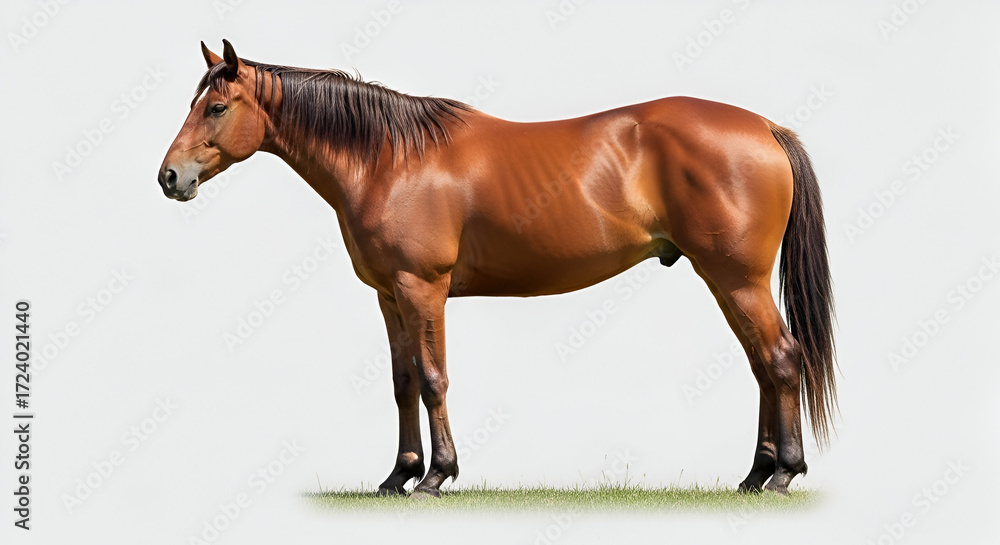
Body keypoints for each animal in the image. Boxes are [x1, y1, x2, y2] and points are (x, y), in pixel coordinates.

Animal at [159, 40, 836, 497]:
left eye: (216, 107)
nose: (170, 177)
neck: (389, 160)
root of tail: (765, 128)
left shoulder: (422, 289)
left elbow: (434, 378)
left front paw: (437, 476)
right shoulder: (388, 296)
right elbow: (403, 382)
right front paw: (397, 476)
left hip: (737, 279)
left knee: (781, 359)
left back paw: (783, 474)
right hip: (726, 281)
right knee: (762, 365)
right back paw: (754, 474)